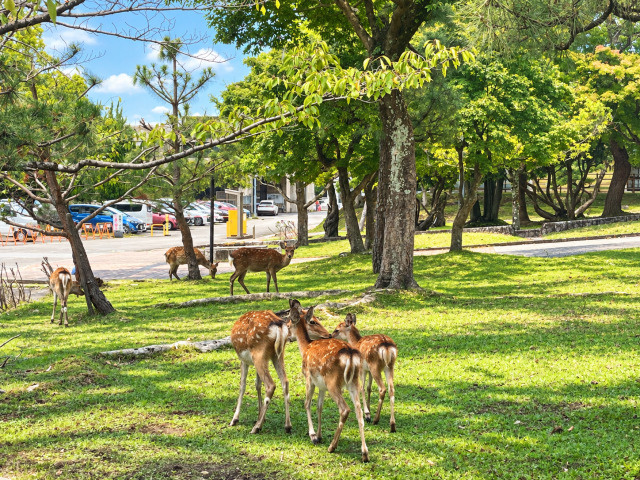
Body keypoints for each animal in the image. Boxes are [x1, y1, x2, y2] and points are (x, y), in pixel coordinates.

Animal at [229, 303, 331, 434]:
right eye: (313, 321)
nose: (329, 334)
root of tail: (279, 327)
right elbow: (257, 384)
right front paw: (260, 415)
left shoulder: (243, 360)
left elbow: (242, 385)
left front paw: (235, 419)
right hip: (278, 354)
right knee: (285, 382)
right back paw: (287, 425)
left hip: (259, 354)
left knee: (271, 384)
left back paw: (256, 427)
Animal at [288, 299, 369, 462]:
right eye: (314, 321)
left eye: (287, 324)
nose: (287, 337)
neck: (305, 348)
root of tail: (351, 355)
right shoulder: (322, 386)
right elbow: (319, 406)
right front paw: (319, 436)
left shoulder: (309, 377)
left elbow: (307, 404)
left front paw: (313, 436)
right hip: (353, 382)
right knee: (358, 411)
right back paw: (364, 453)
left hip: (333, 382)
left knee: (345, 409)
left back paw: (332, 446)